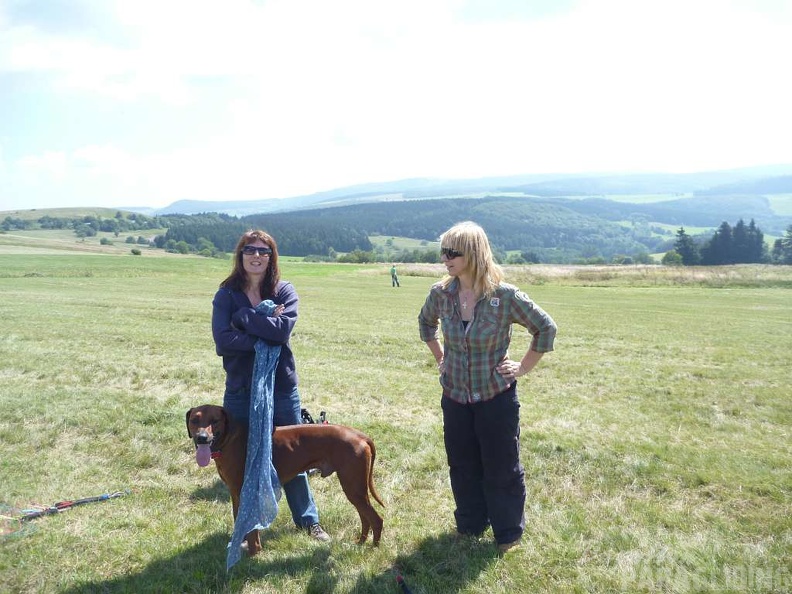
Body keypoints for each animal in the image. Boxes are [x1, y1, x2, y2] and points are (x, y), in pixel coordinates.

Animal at [186, 404, 384, 552]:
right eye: (194, 420)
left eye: (215, 421)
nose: (202, 438)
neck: (229, 438)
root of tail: (360, 435)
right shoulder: (235, 493)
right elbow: (239, 521)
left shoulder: (247, 493)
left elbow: (251, 530)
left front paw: (253, 553)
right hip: (356, 489)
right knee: (365, 517)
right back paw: (360, 543)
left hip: (353, 487)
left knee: (376, 519)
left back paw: (373, 548)